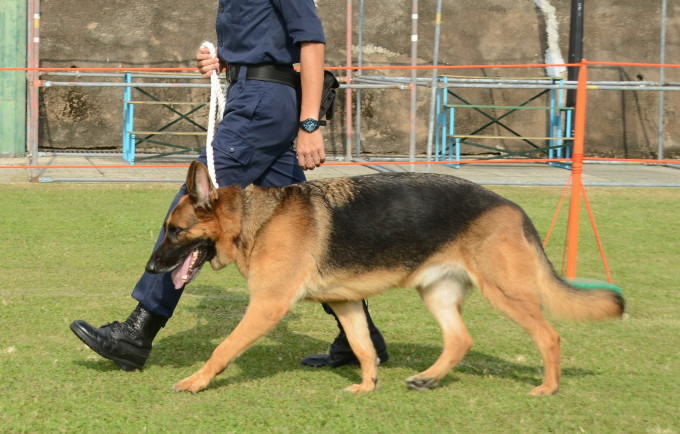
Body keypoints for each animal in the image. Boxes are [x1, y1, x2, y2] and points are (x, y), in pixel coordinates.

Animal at [146, 161, 624, 396]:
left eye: (175, 230)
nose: (150, 270)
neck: (254, 220)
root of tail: (512, 207)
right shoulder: (345, 303)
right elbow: (362, 346)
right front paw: (368, 385)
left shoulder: (267, 306)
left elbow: (222, 348)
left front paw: (196, 382)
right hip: (437, 293)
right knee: (460, 339)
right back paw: (427, 378)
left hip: (505, 293)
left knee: (549, 335)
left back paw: (549, 387)